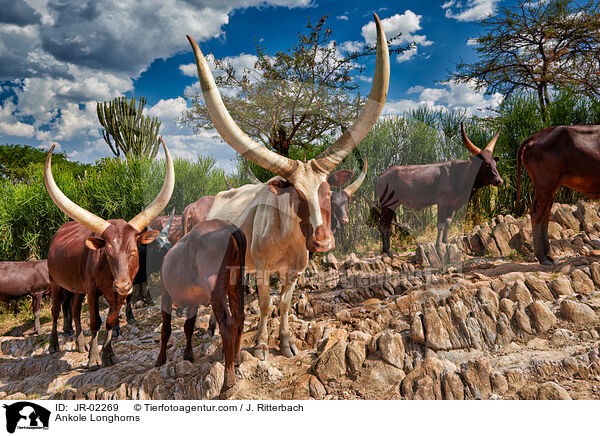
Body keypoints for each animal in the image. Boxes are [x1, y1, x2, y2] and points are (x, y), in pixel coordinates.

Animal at [45, 139, 172, 368]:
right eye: (107, 252)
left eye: (133, 250)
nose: (121, 285)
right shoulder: (92, 288)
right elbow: (96, 321)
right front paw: (94, 359)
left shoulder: (118, 294)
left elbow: (111, 322)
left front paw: (108, 354)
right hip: (56, 282)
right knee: (56, 311)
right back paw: (53, 345)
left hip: (77, 287)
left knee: (75, 308)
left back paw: (80, 343)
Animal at [157, 221, 248, 396]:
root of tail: (228, 226)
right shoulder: (193, 301)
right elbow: (188, 326)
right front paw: (188, 354)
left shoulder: (165, 294)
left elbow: (166, 330)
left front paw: (160, 359)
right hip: (236, 281)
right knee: (239, 316)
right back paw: (236, 358)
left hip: (216, 290)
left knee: (227, 325)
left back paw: (228, 382)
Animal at [378, 122, 504, 252]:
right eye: (485, 164)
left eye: (494, 163)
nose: (499, 180)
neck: (459, 174)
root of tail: (381, 175)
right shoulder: (442, 203)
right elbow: (440, 224)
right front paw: (438, 244)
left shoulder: (452, 205)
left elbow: (447, 223)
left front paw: (445, 242)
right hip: (387, 204)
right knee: (383, 225)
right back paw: (387, 251)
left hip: (393, 205)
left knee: (387, 225)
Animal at [516, 124, 600, 264]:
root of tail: (535, 136)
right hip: (546, 184)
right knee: (537, 213)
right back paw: (543, 257)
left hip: (549, 189)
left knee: (545, 214)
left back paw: (549, 255)